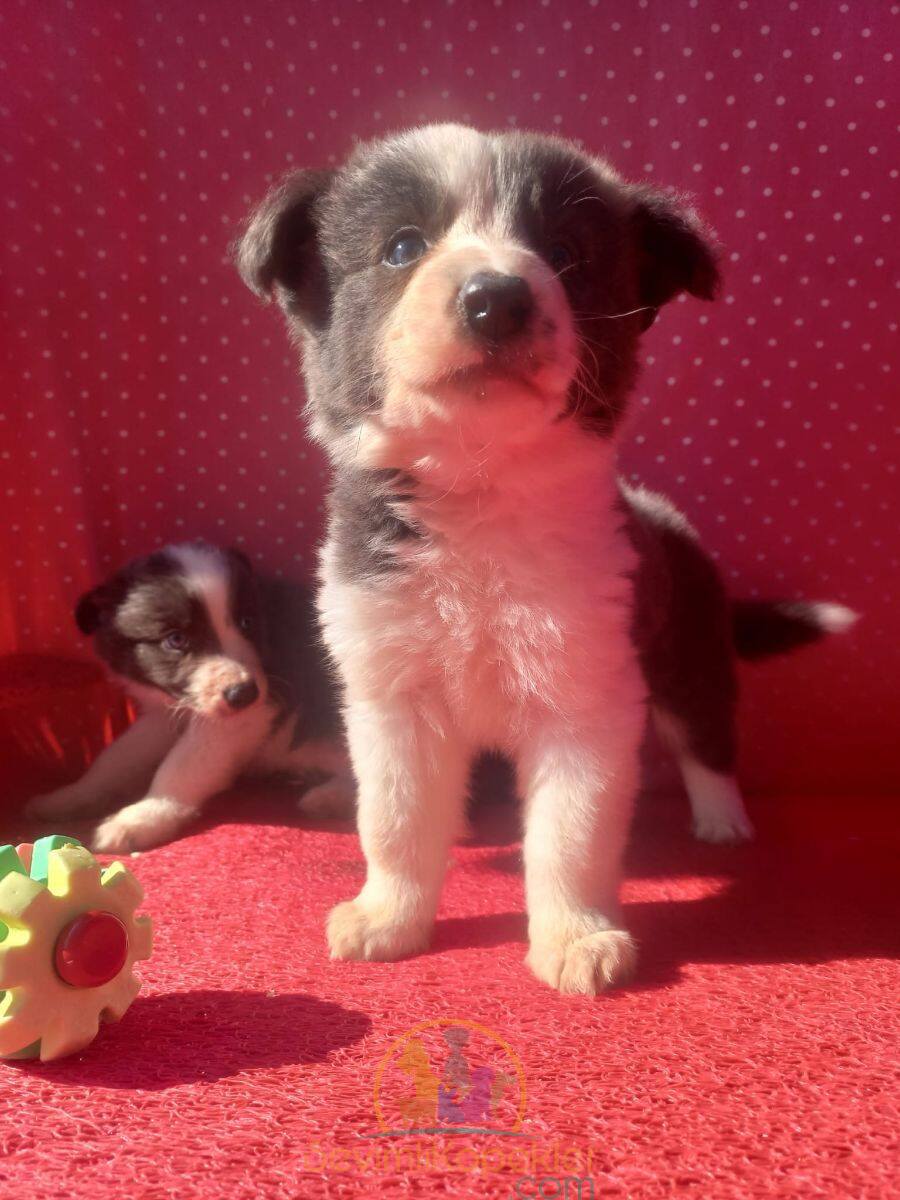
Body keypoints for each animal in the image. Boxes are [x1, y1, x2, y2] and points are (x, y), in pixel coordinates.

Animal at [26, 544, 350, 854]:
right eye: (176, 640)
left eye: (247, 622)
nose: (244, 693)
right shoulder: (163, 716)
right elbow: (116, 758)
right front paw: (70, 796)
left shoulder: (243, 717)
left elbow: (183, 766)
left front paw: (141, 819)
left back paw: (329, 797)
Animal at [236, 121, 854, 993]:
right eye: (402, 247)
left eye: (564, 254)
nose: (496, 298)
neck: (482, 489)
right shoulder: (393, 692)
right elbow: (393, 817)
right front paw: (388, 915)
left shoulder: (587, 698)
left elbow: (571, 834)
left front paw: (577, 938)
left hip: (689, 652)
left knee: (706, 736)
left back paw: (721, 818)